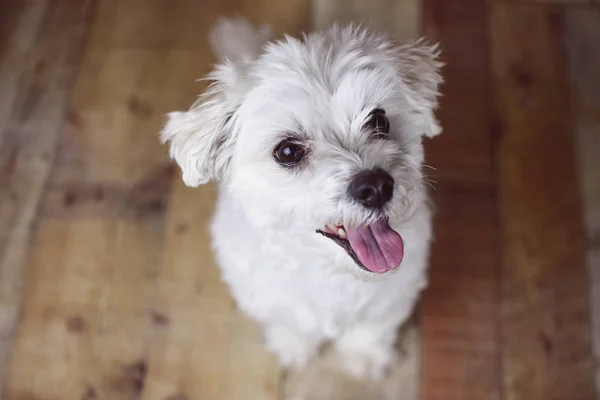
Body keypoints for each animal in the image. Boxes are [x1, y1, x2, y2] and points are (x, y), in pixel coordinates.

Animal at [162, 18, 442, 380]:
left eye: (378, 120)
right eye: (287, 151)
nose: (376, 186)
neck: (330, 271)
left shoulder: (394, 296)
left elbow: (370, 328)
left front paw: (364, 355)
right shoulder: (267, 296)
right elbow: (291, 322)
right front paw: (293, 346)